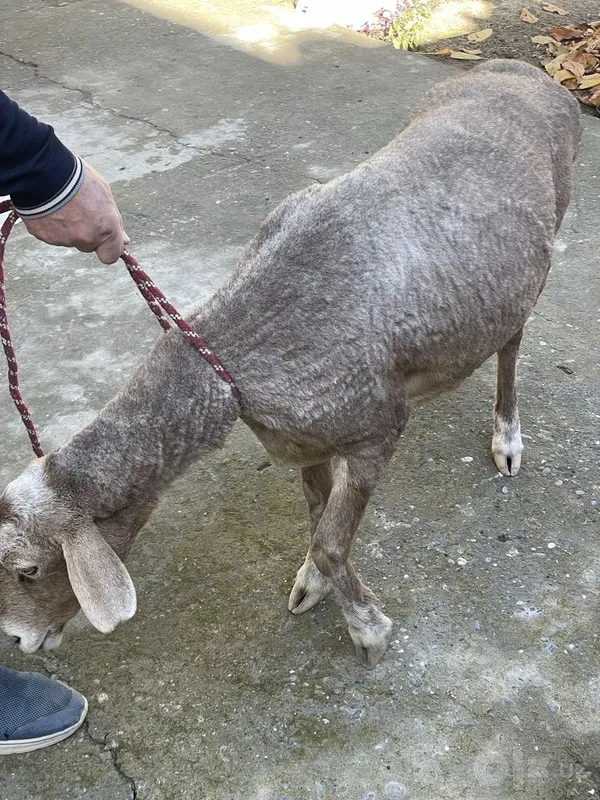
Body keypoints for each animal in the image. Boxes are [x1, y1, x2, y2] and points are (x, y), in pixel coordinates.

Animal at [0, 61, 581, 667]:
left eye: (28, 569)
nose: (18, 639)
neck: (237, 368)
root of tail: (532, 76)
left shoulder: (377, 426)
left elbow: (329, 542)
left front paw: (368, 630)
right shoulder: (308, 440)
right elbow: (318, 512)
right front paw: (313, 585)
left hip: (537, 256)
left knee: (513, 340)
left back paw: (507, 438)